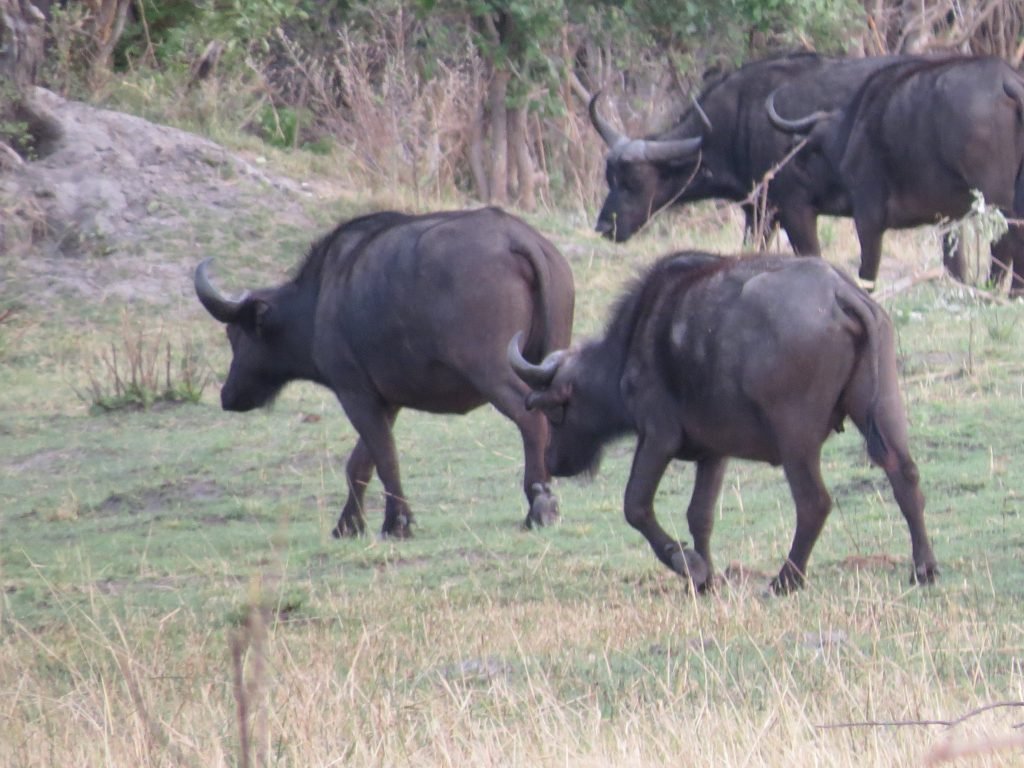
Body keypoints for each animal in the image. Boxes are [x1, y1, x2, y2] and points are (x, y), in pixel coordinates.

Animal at [193, 207, 577, 536]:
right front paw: (347, 525)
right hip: (545, 363)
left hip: (492, 370)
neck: (320, 301)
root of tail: (517, 237)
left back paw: (539, 505)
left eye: (235, 334)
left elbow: (383, 456)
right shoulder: (387, 401)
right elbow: (360, 463)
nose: (227, 395)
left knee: (530, 419)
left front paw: (397, 522)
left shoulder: (355, 394)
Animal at [507, 252, 937, 593]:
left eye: (555, 412)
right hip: (881, 407)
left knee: (814, 502)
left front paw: (688, 565)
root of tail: (839, 293)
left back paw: (786, 580)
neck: (636, 342)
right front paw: (705, 581)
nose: (554, 461)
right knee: (905, 475)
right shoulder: (713, 453)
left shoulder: (658, 436)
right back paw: (923, 570)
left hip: (795, 437)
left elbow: (636, 506)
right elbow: (700, 515)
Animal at [770, 54, 1024, 294]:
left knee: (1005, 240)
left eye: (811, 150)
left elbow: (867, 271)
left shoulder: (868, 216)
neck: (851, 135)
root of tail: (1006, 80)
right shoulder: (951, 217)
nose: (792, 173)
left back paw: (998, 289)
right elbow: (954, 264)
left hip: (994, 196)